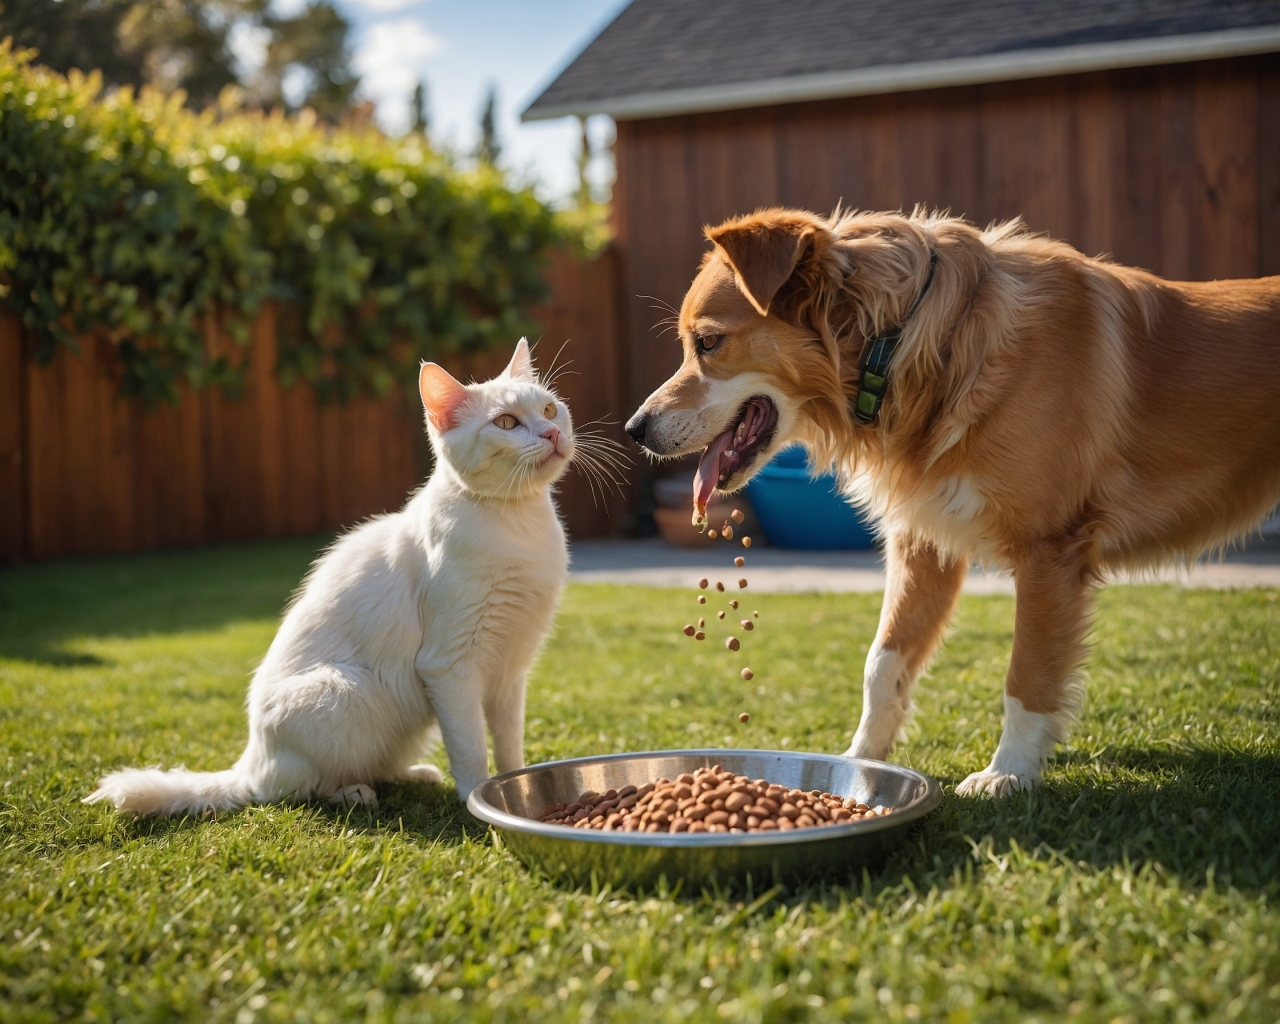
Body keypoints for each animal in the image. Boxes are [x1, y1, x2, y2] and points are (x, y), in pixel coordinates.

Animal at [93, 343, 581, 814]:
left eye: (550, 410)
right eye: (506, 422)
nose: (552, 433)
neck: (518, 524)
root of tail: (251, 762)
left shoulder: (509, 671)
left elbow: (508, 745)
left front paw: (516, 787)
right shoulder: (450, 666)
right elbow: (470, 747)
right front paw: (477, 798)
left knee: (373, 767)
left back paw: (416, 775)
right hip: (349, 692)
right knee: (295, 790)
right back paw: (354, 795)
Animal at [622, 203, 1280, 793]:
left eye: (708, 343)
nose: (634, 429)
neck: (903, 346)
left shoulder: (1049, 550)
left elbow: (1027, 674)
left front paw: (1009, 773)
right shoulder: (923, 541)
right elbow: (882, 663)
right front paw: (860, 762)